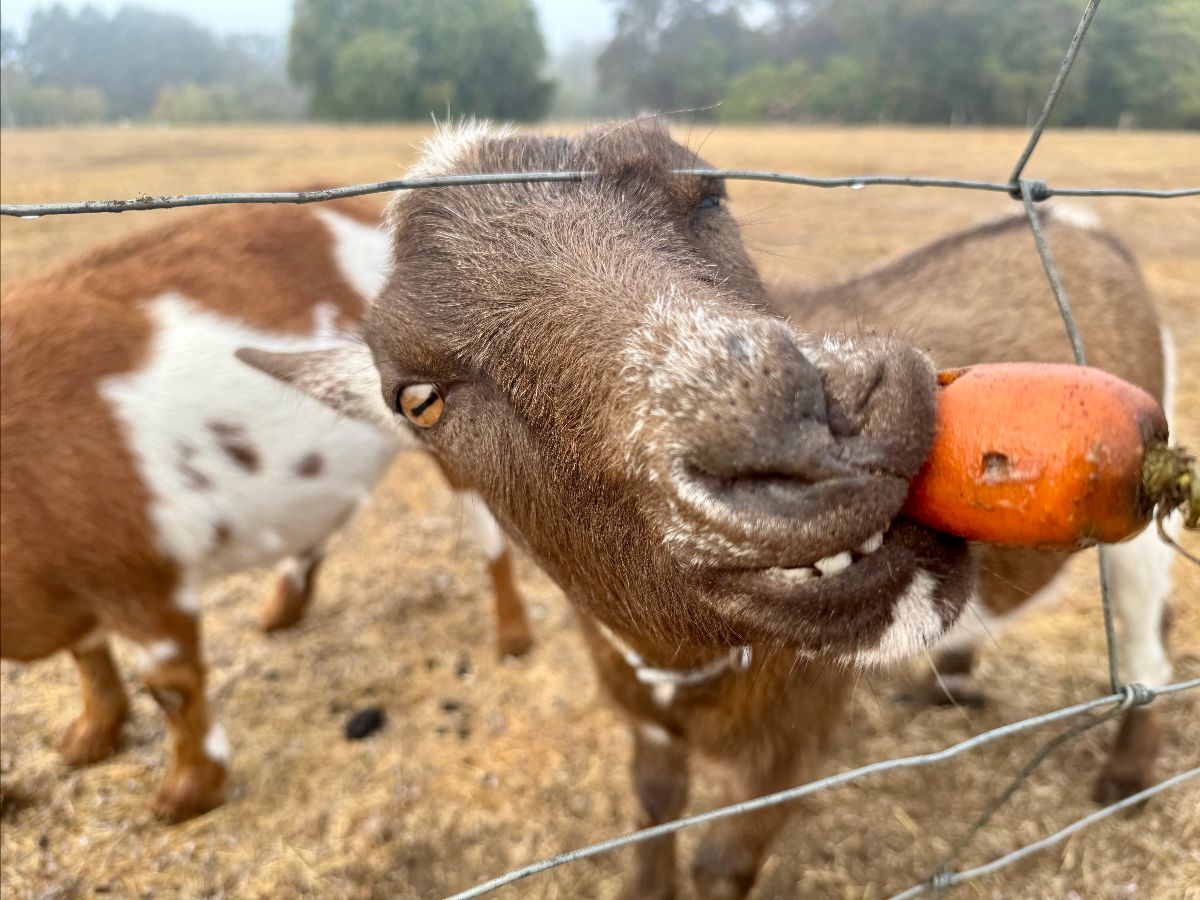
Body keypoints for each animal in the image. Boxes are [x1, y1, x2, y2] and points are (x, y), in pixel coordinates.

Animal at [0, 196, 531, 822]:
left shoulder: (145, 572)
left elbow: (170, 684)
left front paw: (184, 797)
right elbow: (86, 655)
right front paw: (85, 742)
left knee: (489, 528)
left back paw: (514, 641)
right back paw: (281, 613)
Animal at [246, 122, 1177, 898]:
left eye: (707, 194)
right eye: (418, 397)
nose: (819, 428)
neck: (691, 670)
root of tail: (1080, 227)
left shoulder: (799, 737)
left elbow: (722, 860)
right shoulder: (646, 714)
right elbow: (654, 807)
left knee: (1146, 633)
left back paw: (1125, 779)